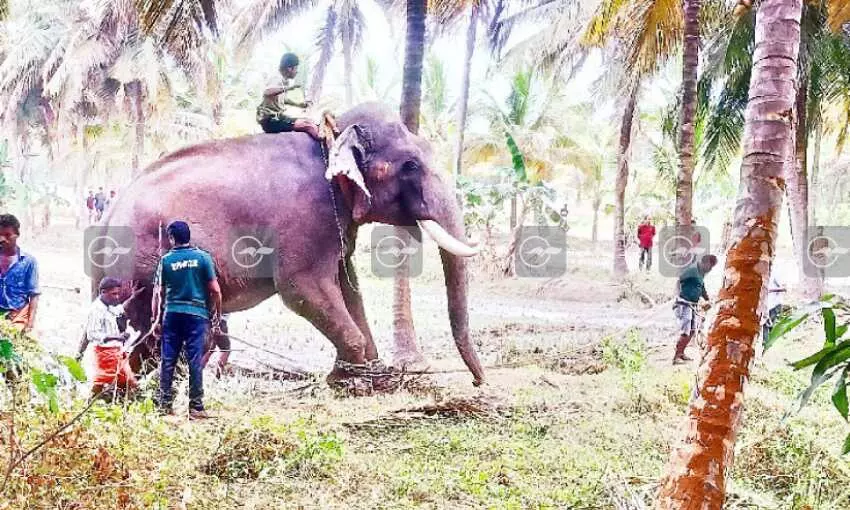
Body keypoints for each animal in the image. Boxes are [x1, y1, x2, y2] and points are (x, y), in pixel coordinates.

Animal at [91, 102, 485, 387]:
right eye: (410, 165)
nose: (478, 382)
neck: (332, 135)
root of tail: (109, 213)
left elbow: (348, 287)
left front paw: (368, 374)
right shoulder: (306, 215)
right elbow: (301, 288)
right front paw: (353, 381)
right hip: (138, 263)